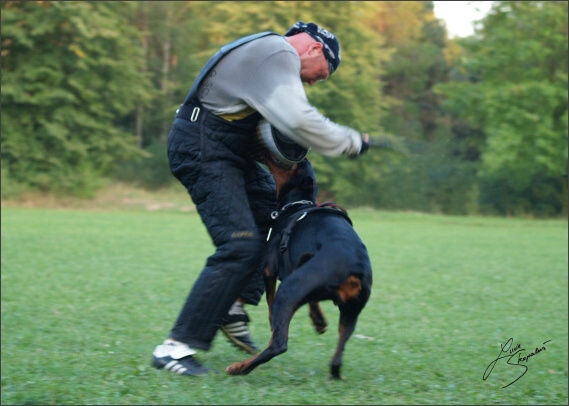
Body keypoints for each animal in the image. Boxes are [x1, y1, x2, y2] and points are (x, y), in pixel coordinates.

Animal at [226, 157, 372, 380]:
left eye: (295, 165)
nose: (304, 156)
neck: (296, 205)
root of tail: (354, 269)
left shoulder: (269, 270)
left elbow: (269, 301)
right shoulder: (300, 268)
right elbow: (313, 300)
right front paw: (319, 320)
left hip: (288, 290)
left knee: (279, 344)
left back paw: (240, 367)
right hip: (350, 312)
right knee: (338, 357)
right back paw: (334, 372)